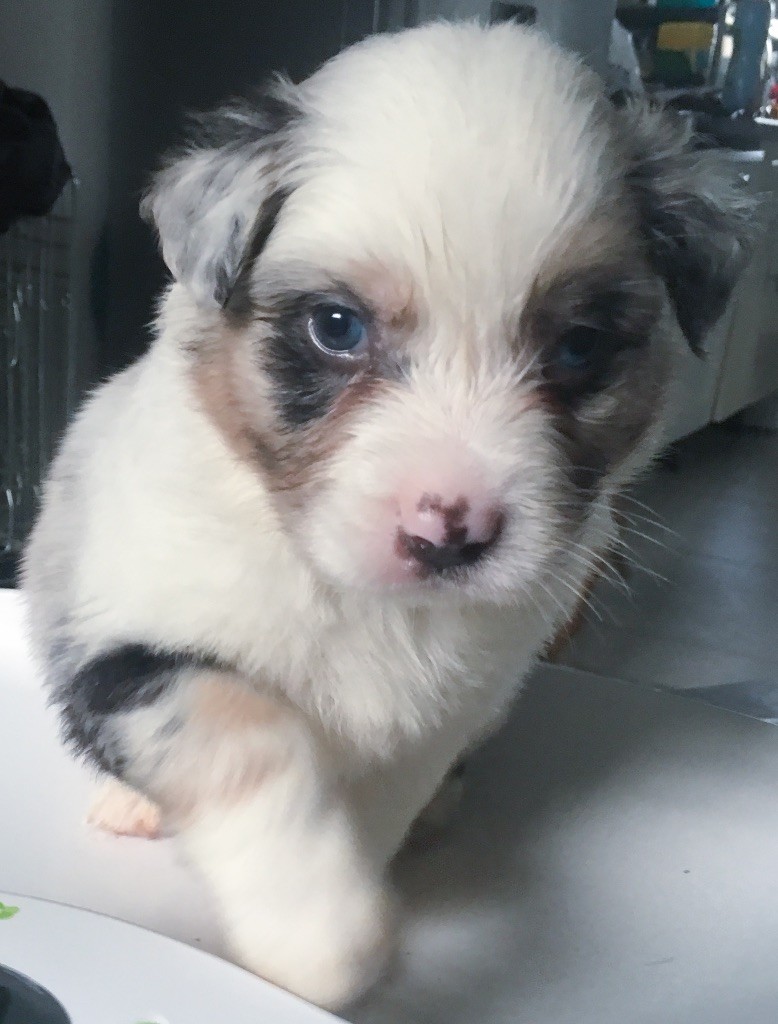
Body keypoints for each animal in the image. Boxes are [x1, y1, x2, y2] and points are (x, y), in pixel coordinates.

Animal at [22, 20, 750, 1009]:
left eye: (579, 347)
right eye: (337, 327)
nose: (450, 533)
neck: (353, 595)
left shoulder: (443, 711)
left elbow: (380, 801)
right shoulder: (132, 639)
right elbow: (245, 733)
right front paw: (317, 933)